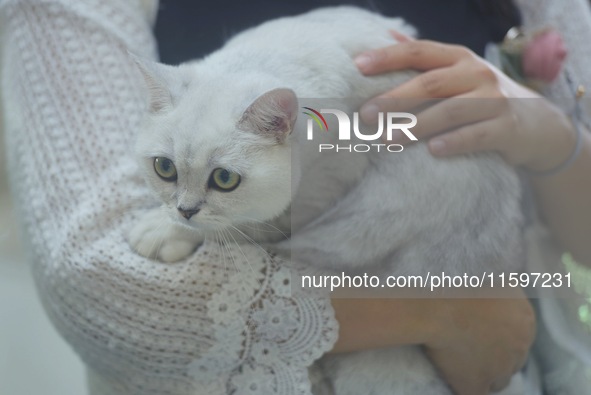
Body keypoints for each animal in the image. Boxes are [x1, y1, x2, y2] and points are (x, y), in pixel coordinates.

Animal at [131, 6, 528, 395]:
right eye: (165, 168)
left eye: (224, 179)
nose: (185, 210)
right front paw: (166, 223)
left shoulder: (324, 190)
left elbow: (243, 226)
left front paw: (162, 232)